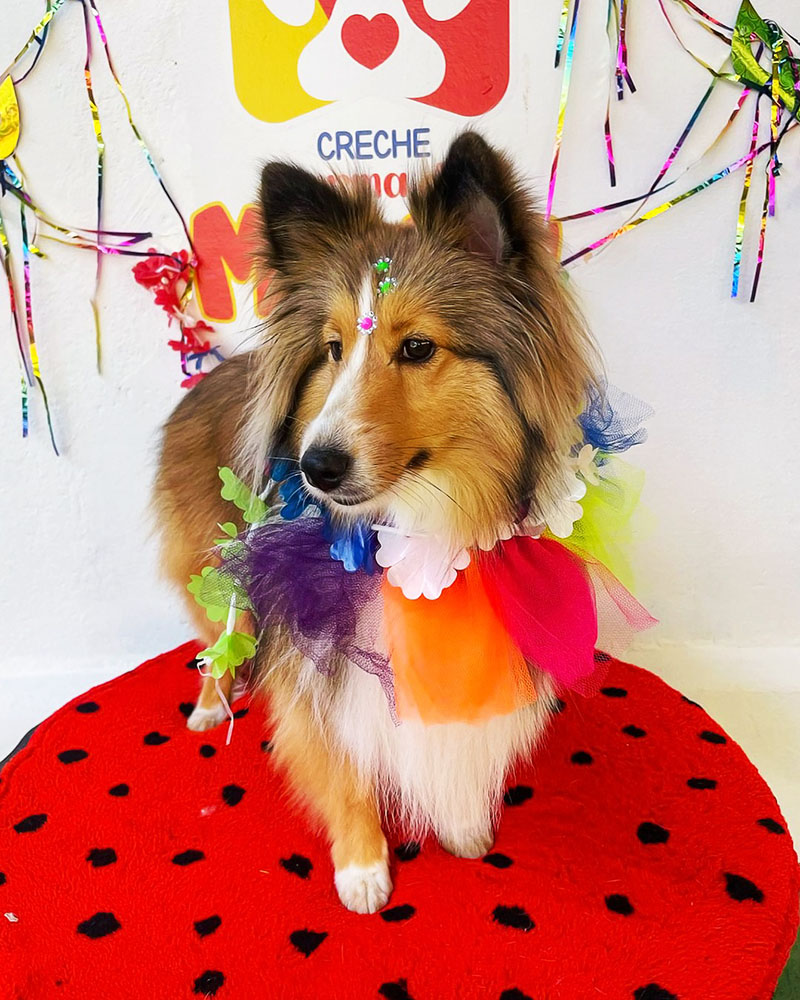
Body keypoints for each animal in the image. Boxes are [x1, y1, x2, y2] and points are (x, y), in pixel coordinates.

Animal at [154, 132, 597, 913]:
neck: (414, 526)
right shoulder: (314, 653)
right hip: (214, 566)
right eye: (333, 349)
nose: (314, 467)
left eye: (418, 347)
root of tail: (209, 375)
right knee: (219, 639)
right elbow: (338, 762)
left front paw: (461, 826)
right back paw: (211, 704)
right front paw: (362, 867)